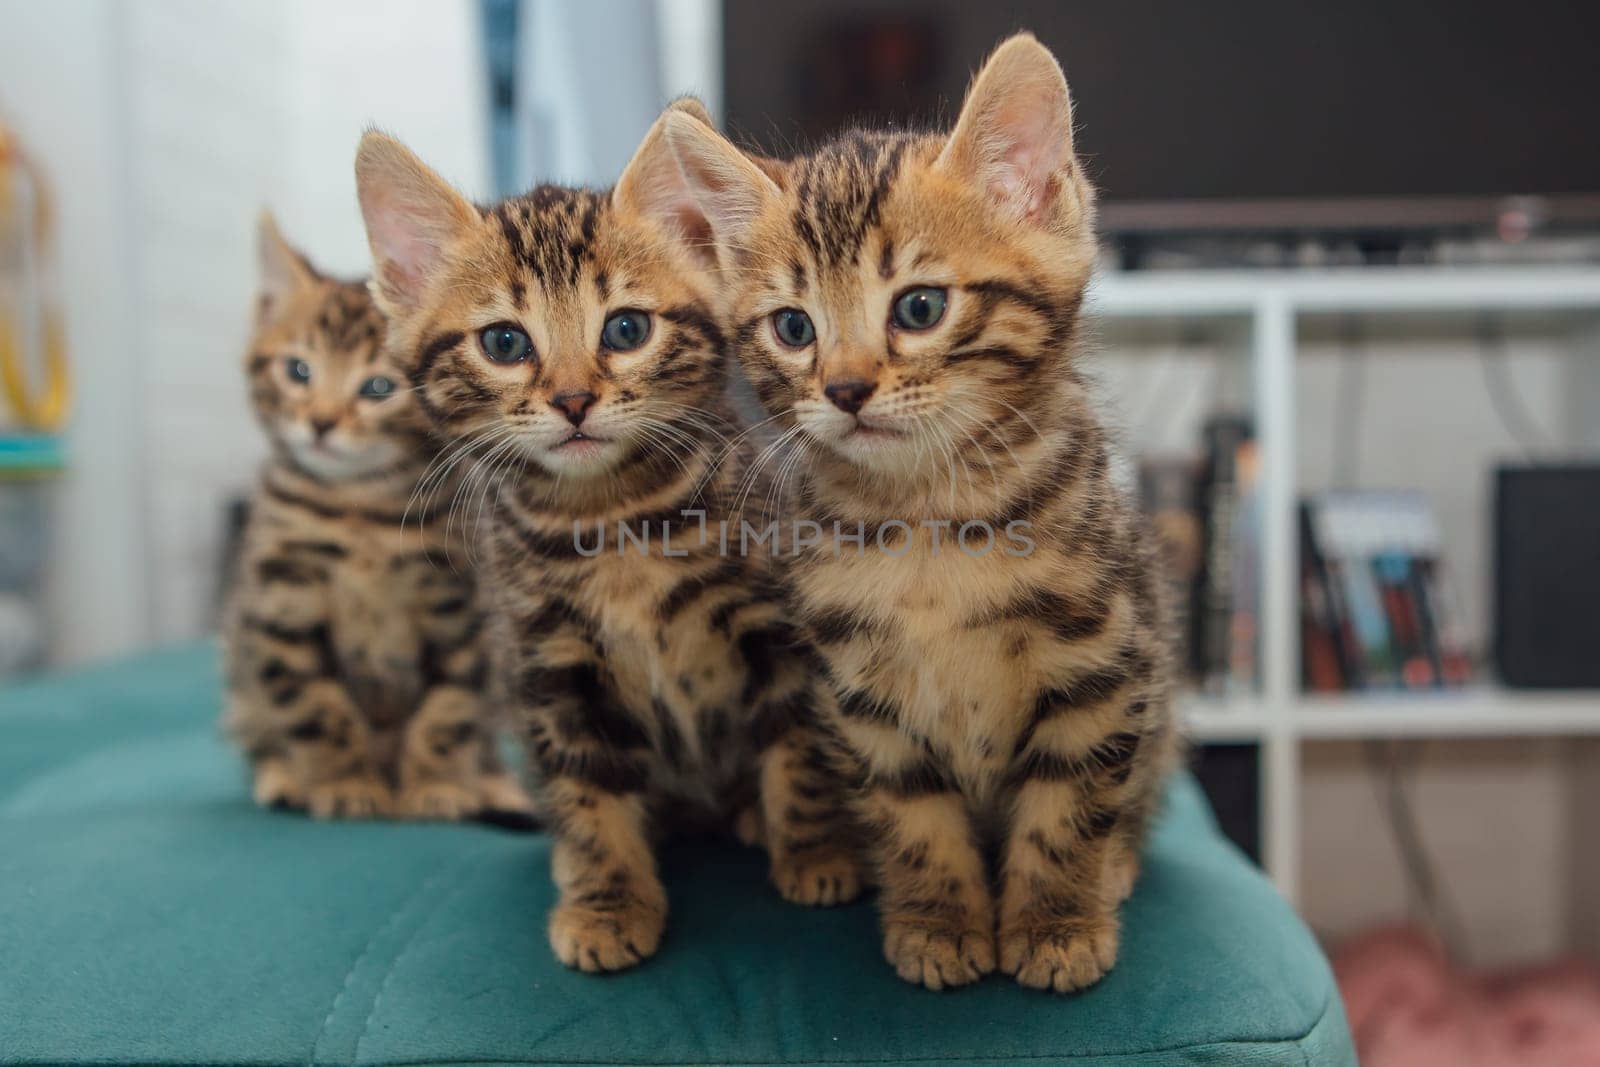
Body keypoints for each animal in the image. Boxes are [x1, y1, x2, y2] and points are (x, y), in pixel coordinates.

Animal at [225, 212, 528, 825]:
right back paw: (283, 775)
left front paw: (438, 785)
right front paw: (342, 781)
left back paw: (492, 783)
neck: (359, 509)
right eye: (298, 371)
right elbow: (316, 708)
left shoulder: (464, 608)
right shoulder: (278, 607)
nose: (320, 423)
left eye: (379, 387)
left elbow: (450, 706)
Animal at [358, 102, 870, 979]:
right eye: (504, 343)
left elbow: (801, 745)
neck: (610, 522)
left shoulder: (781, 631)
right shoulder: (551, 667)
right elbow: (587, 795)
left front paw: (817, 849)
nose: (572, 400)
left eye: (626, 328)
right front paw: (607, 900)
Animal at [656, 35, 1184, 991]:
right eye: (793, 327)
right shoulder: (860, 695)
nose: (845, 388)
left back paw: (1116, 866)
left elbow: (1069, 805)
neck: (928, 518)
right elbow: (913, 817)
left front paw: (1056, 922)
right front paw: (938, 921)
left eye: (921, 307)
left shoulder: (1102, 664)